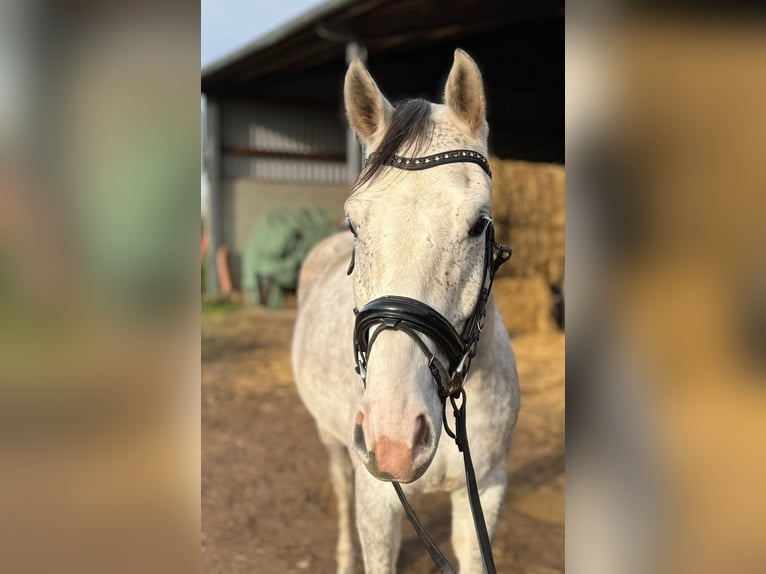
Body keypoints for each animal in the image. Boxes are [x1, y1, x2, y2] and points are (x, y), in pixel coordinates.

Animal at [292, 49, 521, 574]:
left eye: (479, 224)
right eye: (355, 224)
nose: (393, 437)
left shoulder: (487, 492)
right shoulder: (377, 503)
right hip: (332, 440)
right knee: (339, 489)